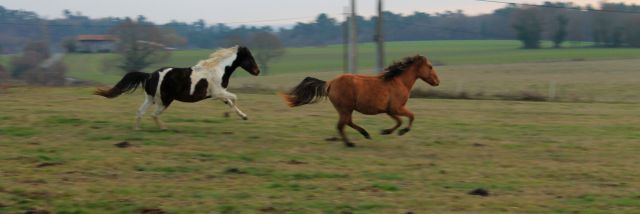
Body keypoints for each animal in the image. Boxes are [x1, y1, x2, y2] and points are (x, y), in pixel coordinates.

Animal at [94, 45, 258, 130]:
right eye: (249, 57)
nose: (257, 71)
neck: (218, 69)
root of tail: (149, 75)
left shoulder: (219, 94)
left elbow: (230, 101)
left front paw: (243, 116)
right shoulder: (218, 93)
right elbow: (234, 98)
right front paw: (229, 114)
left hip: (150, 98)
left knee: (140, 112)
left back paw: (138, 129)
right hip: (164, 101)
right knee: (154, 114)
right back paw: (163, 128)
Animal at [284, 54, 440, 147]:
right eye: (430, 66)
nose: (438, 81)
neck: (399, 82)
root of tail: (330, 82)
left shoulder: (390, 110)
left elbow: (399, 121)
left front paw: (386, 131)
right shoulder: (396, 108)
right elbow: (411, 116)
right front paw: (402, 131)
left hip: (347, 109)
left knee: (347, 122)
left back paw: (365, 134)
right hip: (345, 108)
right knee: (342, 125)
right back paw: (350, 143)